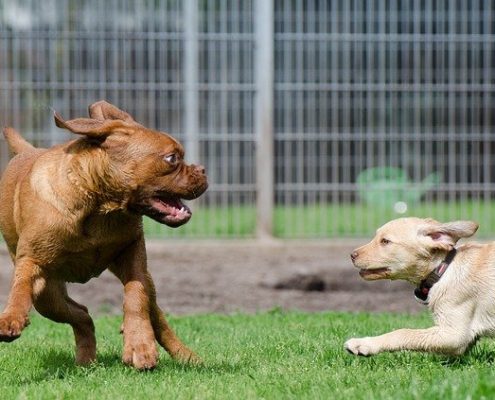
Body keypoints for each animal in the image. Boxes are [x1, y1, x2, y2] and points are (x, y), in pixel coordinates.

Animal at [0, 101, 208, 368]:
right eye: (172, 158)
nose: (202, 170)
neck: (99, 206)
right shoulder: (32, 262)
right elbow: (20, 288)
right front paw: (11, 317)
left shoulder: (133, 255)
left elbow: (136, 297)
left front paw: (139, 344)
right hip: (47, 296)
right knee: (81, 314)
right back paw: (86, 358)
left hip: (143, 284)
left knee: (154, 316)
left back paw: (185, 356)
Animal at [344, 217, 488, 358]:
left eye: (385, 241)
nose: (352, 255)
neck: (443, 269)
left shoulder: (455, 335)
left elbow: (403, 333)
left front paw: (364, 344)